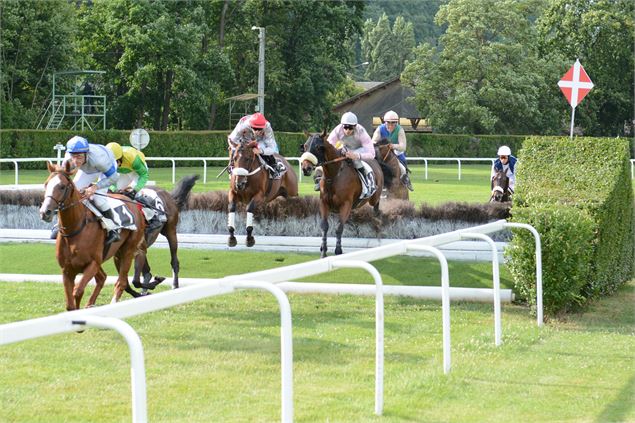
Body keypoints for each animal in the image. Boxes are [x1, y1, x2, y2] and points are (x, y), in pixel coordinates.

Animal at [39, 161, 148, 310]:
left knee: (121, 282)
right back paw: (90, 304)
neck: (75, 229)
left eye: (61, 186)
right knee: (103, 277)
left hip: (128, 250)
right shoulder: (67, 269)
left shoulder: (93, 264)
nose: (45, 212)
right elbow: (70, 304)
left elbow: (77, 291)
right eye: (46, 184)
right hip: (116, 254)